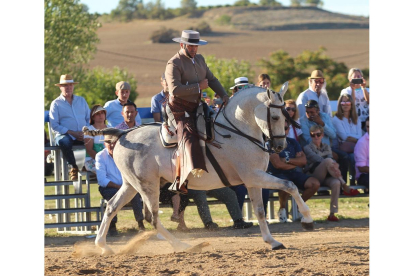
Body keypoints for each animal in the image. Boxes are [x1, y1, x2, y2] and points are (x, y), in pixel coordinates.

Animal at [82, 83, 312, 254]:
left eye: (285, 116)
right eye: (275, 117)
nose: (280, 146)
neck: (237, 132)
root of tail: (123, 134)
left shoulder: (253, 180)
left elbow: (260, 211)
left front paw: (272, 241)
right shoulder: (255, 176)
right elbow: (290, 185)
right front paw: (307, 219)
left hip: (130, 185)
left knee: (112, 207)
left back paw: (102, 246)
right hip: (147, 186)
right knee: (152, 217)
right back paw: (182, 245)